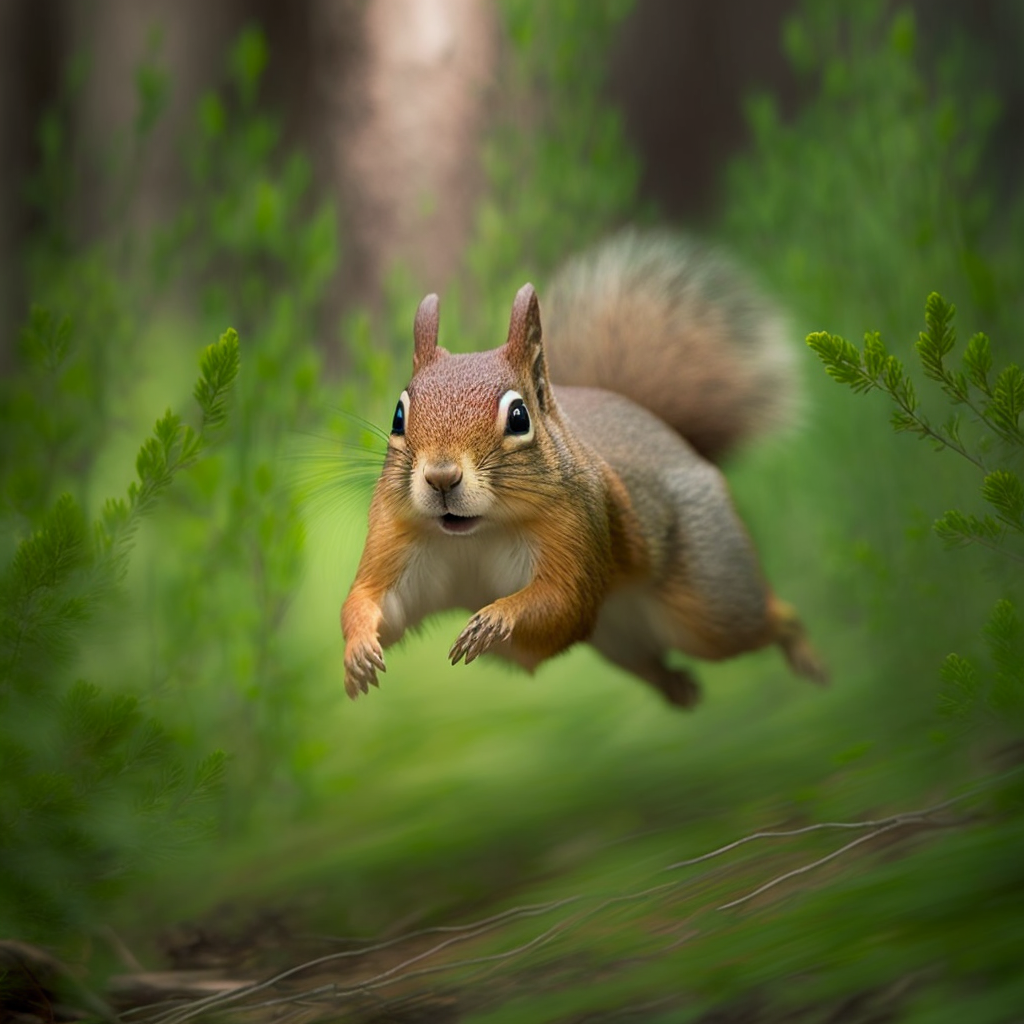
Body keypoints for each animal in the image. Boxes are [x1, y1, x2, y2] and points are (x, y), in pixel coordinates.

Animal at [344, 230, 831, 704]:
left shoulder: (580, 524)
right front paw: (358, 650)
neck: (475, 532)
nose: (441, 476)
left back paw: (805, 653)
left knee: (762, 618)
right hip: (618, 639)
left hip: (710, 595)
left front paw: (496, 618)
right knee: (648, 662)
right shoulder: (399, 535)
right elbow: (374, 602)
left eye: (519, 417)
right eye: (398, 416)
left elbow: (562, 603)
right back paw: (679, 689)